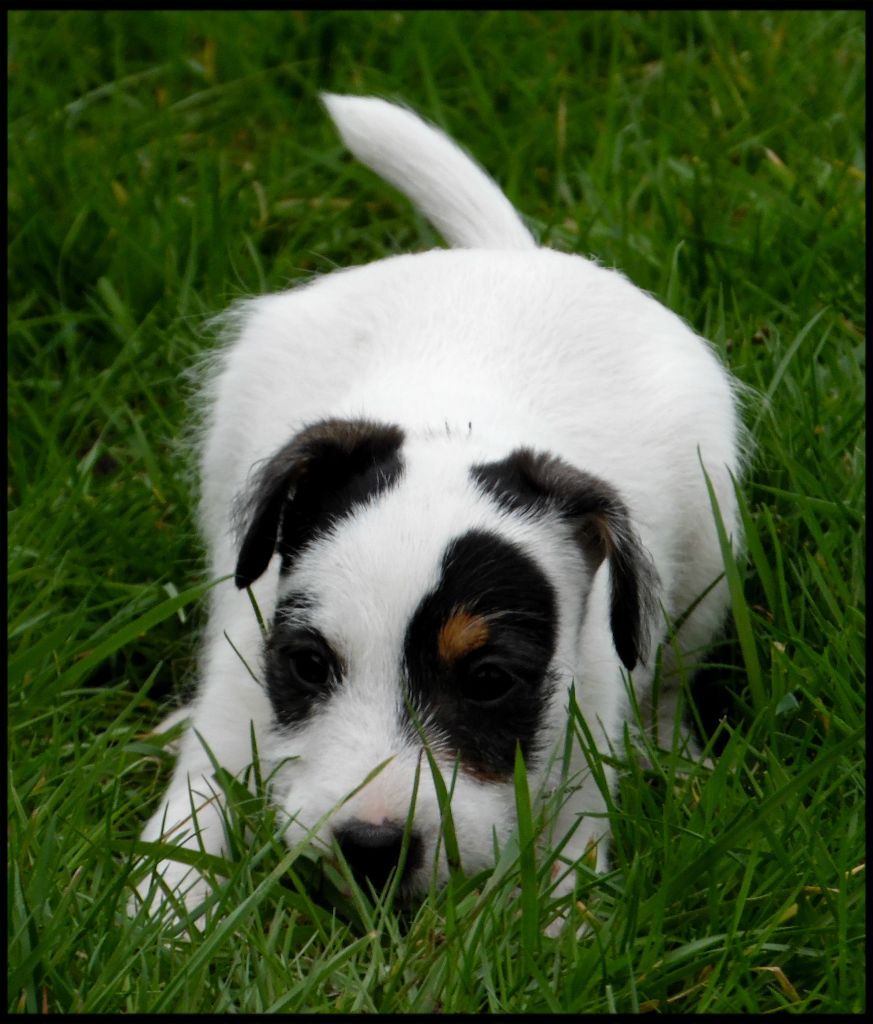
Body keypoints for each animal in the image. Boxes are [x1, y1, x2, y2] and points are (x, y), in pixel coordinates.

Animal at [134, 94, 740, 929]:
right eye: (308, 665)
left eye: (487, 680)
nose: (370, 850)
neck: (456, 429)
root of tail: (507, 255)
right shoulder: (243, 672)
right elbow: (196, 801)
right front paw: (164, 912)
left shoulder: (581, 726)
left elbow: (568, 864)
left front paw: (548, 935)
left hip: (707, 558)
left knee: (672, 675)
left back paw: (673, 757)